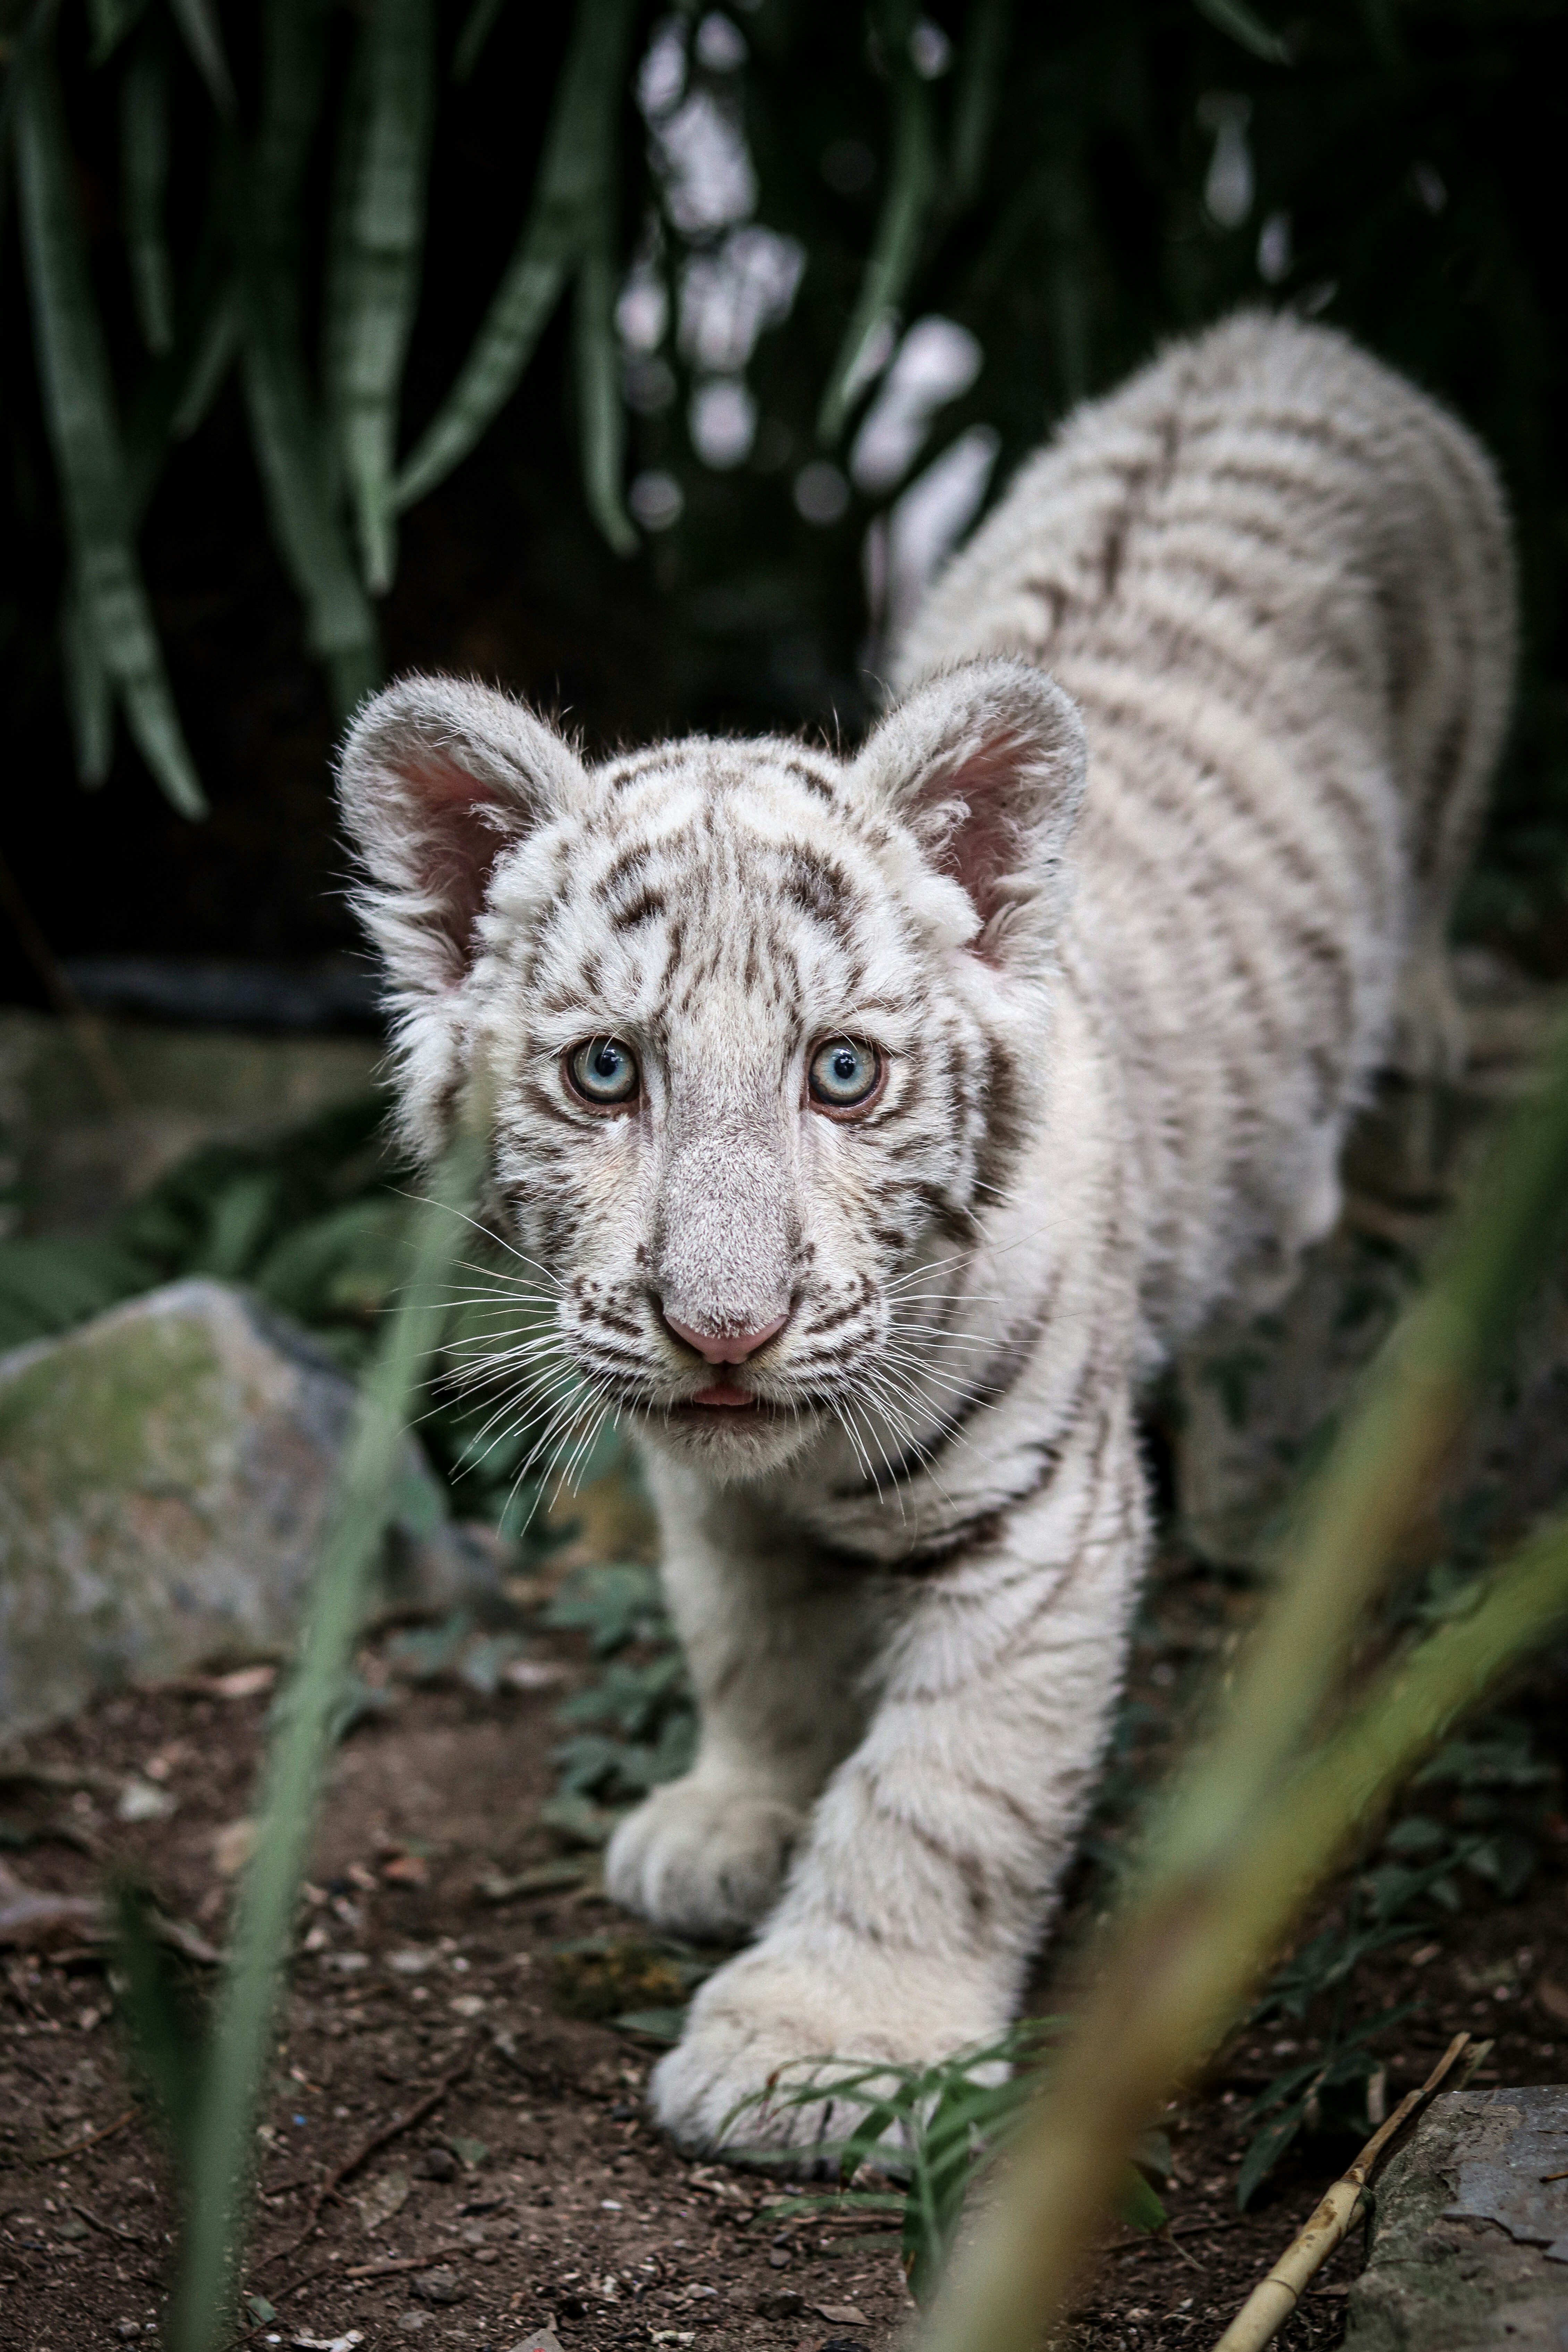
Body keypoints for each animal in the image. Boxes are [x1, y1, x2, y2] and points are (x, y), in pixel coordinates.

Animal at [337, 311, 1515, 2155]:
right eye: (605, 1071)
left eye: (842, 1072)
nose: (723, 1328)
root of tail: (1279, 337)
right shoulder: (708, 1491)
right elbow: (749, 1650)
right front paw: (725, 1821)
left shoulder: (1037, 1521)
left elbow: (940, 1789)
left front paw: (821, 2051)